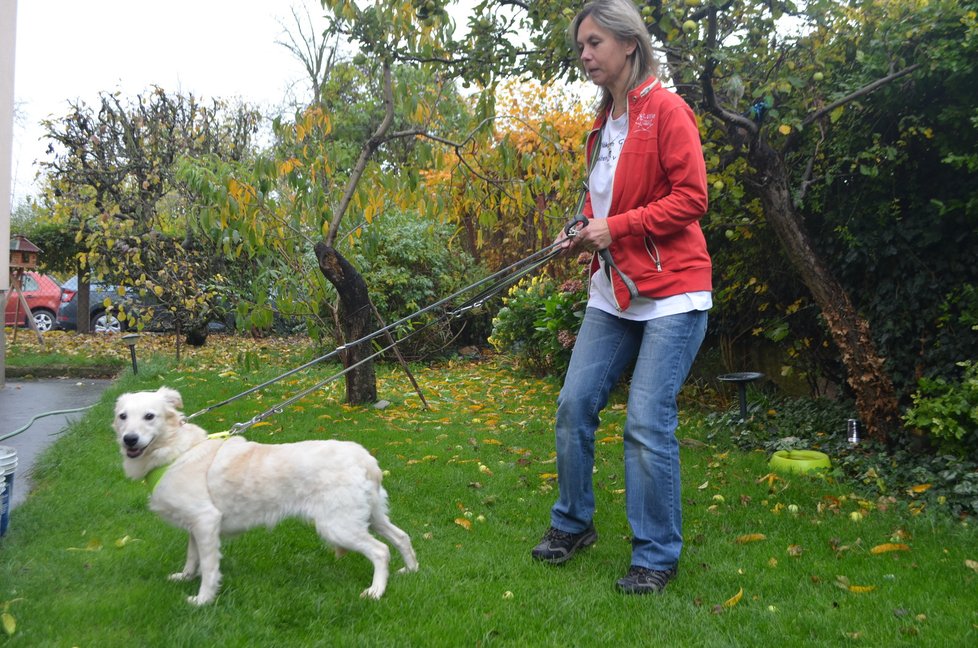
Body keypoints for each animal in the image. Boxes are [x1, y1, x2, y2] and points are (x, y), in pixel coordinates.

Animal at [112, 384, 418, 604]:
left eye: (150, 416)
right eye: (122, 416)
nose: (129, 440)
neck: (176, 451)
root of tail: (365, 458)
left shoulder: (205, 520)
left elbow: (209, 567)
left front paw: (202, 599)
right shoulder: (195, 526)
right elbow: (192, 556)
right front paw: (185, 576)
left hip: (338, 526)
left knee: (381, 551)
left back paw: (376, 592)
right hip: (370, 517)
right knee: (401, 537)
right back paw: (410, 571)